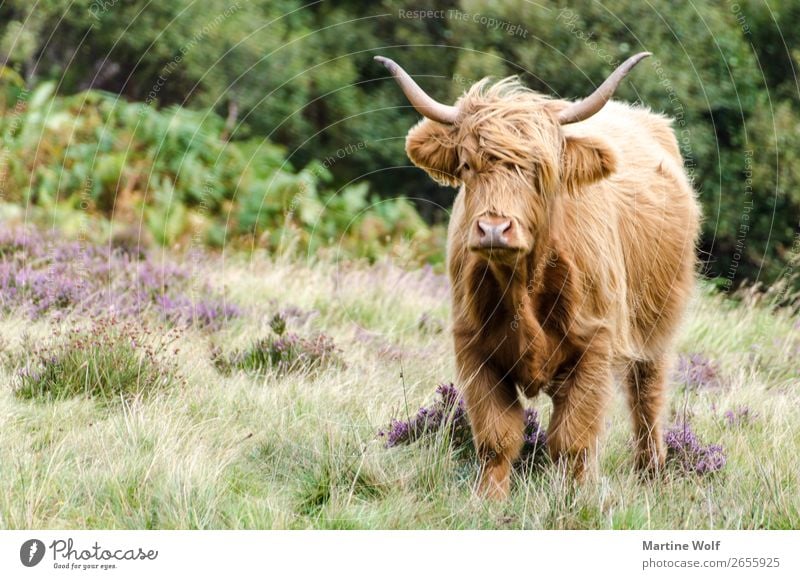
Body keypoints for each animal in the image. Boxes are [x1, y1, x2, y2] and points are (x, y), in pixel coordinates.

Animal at [378, 52, 696, 500]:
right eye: (467, 165)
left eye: (538, 171)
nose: (494, 228)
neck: (521, 286)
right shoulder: (473, 348)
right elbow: (497, 437)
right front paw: (489, 500)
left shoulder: (596, 343)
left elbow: (573, 439)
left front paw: (575, 498)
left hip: (656, 325)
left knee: (647, 396)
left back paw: (651, 474)